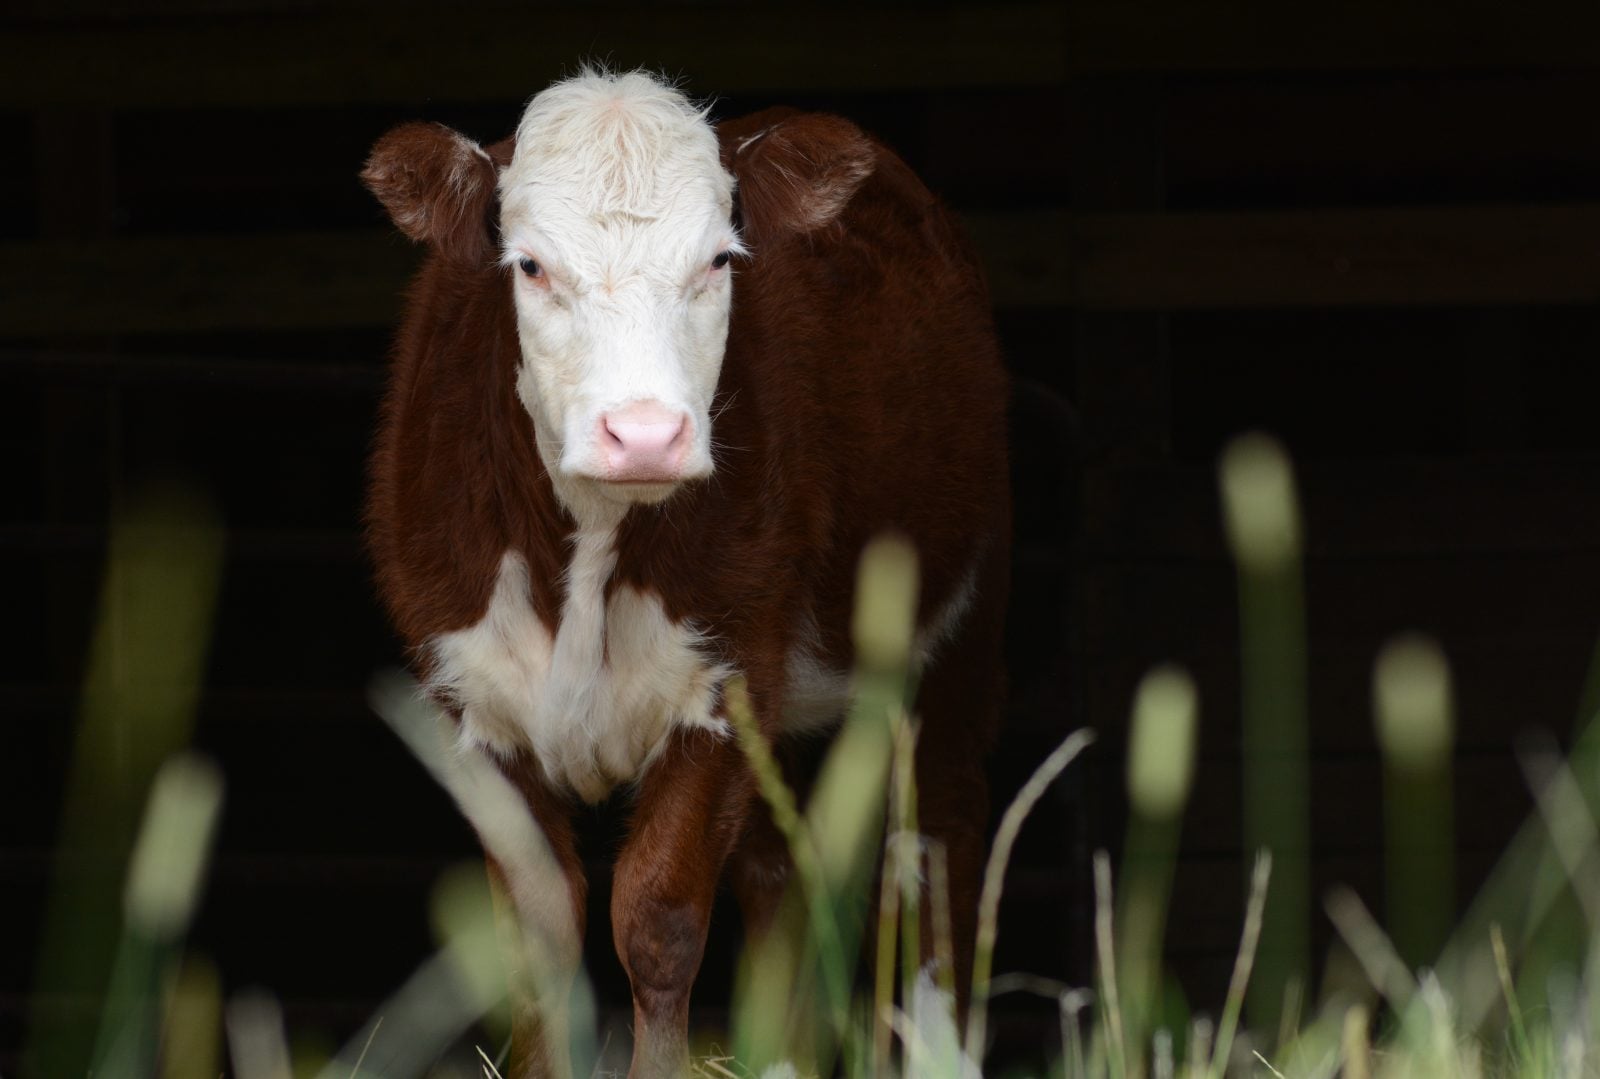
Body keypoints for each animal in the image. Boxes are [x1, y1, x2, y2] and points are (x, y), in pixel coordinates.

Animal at [361, 69, 1010, 1078]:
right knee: (782, 874)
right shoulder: (470, 703)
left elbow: (656, 920)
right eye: (530, 265)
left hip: (958, 635)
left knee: (942, 840)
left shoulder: (728, 684)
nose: (645, 434)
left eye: (717, 262)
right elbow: (539, 936)